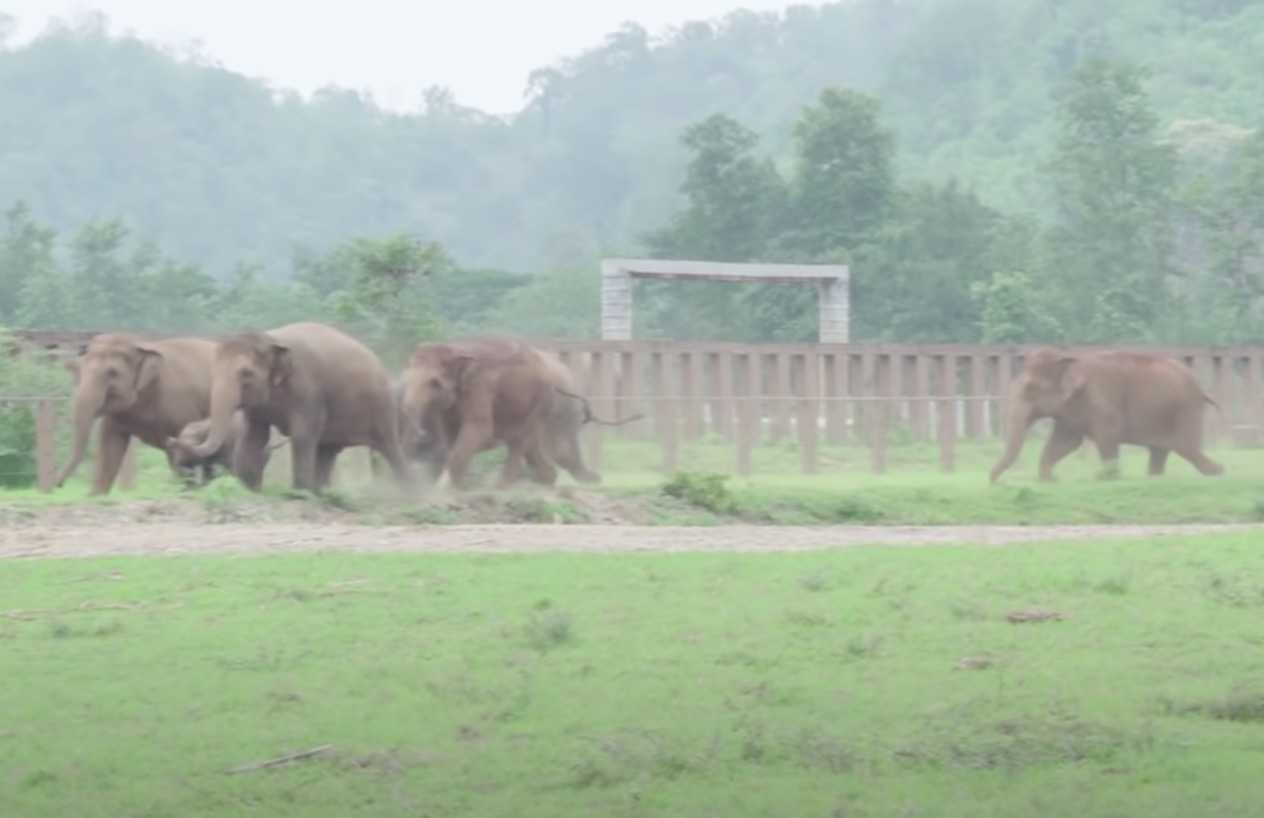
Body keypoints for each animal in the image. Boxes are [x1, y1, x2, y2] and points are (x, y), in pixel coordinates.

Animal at [53, 336, 217, 495]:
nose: (58, 486)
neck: (139, 344)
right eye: (80, 369)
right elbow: (110, 446)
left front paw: (186, 492)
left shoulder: (180, 403)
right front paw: (97, 496)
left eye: (112, 373)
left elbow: (181, 448)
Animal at [187, 323, 414, 493]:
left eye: (246, 373)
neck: (270, 338)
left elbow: (302, 435)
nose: (189, 440)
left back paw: (410, 496)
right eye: (213, 370)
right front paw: (246, 490)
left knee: (389, 449)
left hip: (382, 408)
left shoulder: (308, 390)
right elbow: (253, 437)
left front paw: (297, 494)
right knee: (327, 450)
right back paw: (321, 493)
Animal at [985, 346, 1223, 485]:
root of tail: (1200, 389)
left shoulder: (1102, 400)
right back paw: (1155, 478)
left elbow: (1107, 436)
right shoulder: (1069, 410)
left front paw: (1106, 478)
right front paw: (1049, 479)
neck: (1069, 359)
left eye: (1030, 388)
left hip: (1185, 410)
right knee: (1160, 452)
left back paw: (1220, 472)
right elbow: (1065, 442)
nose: (995, 482)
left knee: (1187, 450)